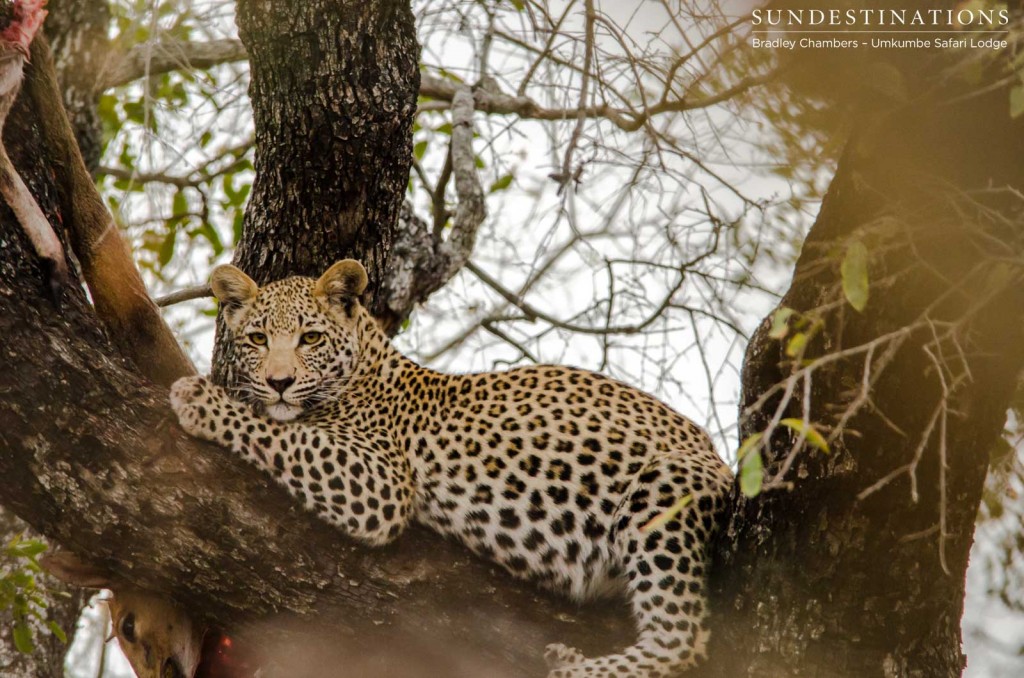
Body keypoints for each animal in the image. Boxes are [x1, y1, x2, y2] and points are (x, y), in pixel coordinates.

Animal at [169, 260, 729, 678]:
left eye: (310, 338)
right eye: (258, 339)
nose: (280, 382)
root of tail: (723, 459)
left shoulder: (379, 483)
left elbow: (285, 434)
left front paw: (200, 398)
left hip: (665, 485)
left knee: (687, 640)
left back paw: (574, 667)